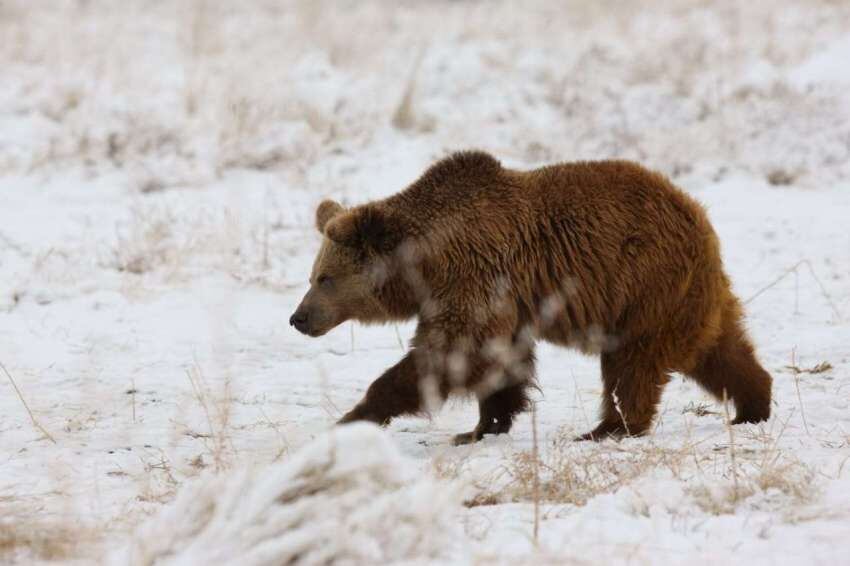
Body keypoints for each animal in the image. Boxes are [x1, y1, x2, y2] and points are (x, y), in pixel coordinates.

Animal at [290, 153, 768, 446]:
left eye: (325, 279)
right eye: (311, 276)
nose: (298, 318)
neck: (425, 264)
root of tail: (697, 213)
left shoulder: (475, 277)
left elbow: (451, 353)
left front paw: (354, 415)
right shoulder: (497, 300)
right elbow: (496, 362)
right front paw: (482, 427)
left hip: (643, 286)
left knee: (632, 364)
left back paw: (608, 428)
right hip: (688, 295)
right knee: (720, 350)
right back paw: (753, 404)